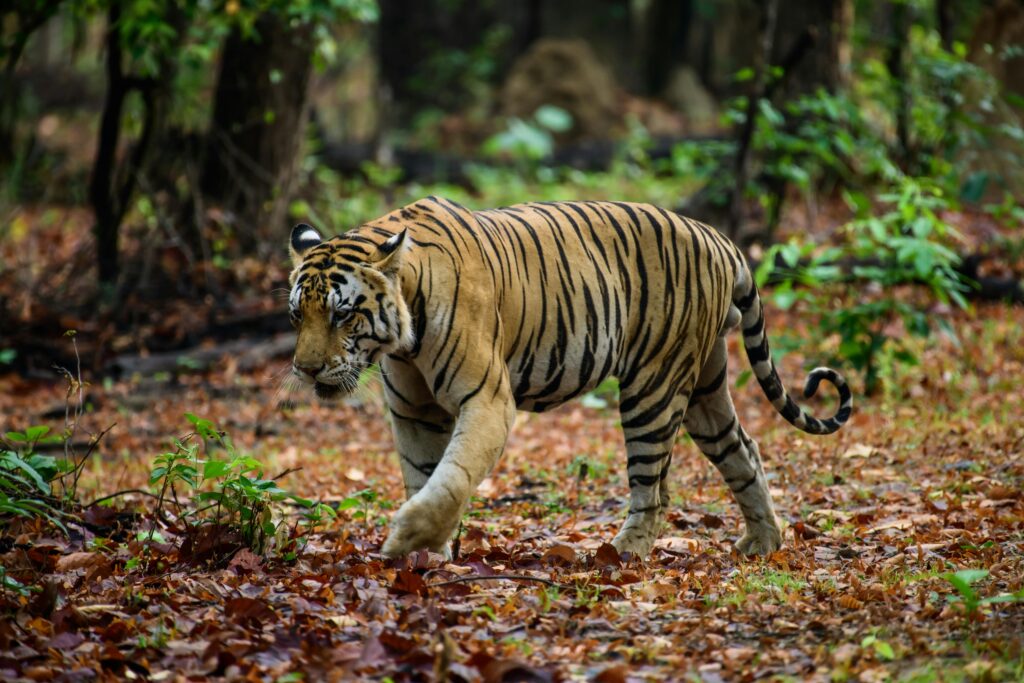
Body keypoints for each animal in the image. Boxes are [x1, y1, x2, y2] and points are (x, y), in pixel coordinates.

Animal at [284, 194, 851, 557]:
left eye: (342, 314)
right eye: (296, 315)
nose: (305, 370)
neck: (402, 338)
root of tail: (716, 237)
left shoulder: (488, 400)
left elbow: (452, 475)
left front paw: (406, 538)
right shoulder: (414, 411)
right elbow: (423, 474)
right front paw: (426, 554)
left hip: (653, 385)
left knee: (654, 488)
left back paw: (622, 553)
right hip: (704, 388)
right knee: (743, 450)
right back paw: (763, 542)